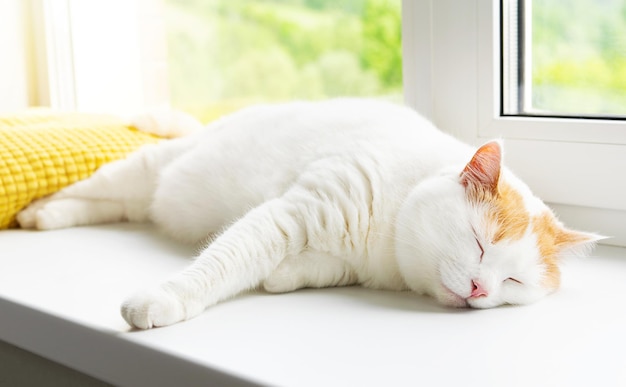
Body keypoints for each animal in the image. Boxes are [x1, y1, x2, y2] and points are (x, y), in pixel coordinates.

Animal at [15, 98, 600, 328]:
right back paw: (38, 211)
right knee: (95, 186)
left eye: (513, 283)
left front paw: (283, 277)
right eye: (479, 243)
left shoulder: (349, 258)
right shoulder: (290, 214)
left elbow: (311, 269)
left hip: (147, 193)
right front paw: (162, 300)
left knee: (116, 203)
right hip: (148, 166)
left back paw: (47, 217)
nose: (480, 290)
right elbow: (223, 262)